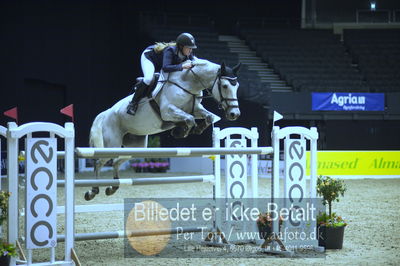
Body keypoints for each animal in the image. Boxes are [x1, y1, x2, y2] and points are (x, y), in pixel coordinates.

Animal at [84, 58, 241, 200]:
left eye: (237, 86)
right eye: (225, 86)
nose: (234, 114)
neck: (188, 84)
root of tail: (106, 113)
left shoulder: (196, 109)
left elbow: (208, 117)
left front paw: (194, 129)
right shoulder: (167, 111)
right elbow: (189, 119)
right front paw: (180, 131)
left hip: (135, 146)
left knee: (116, 162)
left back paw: (112, 187)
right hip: (113, 144)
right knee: (99, 162)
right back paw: (92, 191)